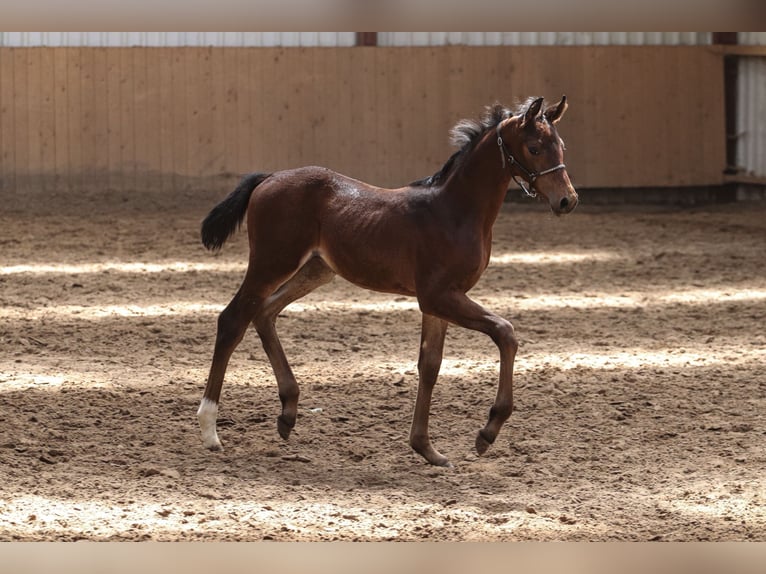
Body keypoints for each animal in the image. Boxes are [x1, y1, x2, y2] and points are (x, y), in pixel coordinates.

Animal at [197, 96, 578, 467]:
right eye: (534, 147)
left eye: (561, 146)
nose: (568, 200)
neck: (454, 212)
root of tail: (270, 176)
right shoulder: (438, 296)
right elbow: (505, 333)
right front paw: (488, 431)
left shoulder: (439, 301)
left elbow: (430, 364)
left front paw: (426, 448)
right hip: (272, 262)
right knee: (232, 320)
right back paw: (209, 429)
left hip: (316, 269)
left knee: (264, 313)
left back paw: (288, 412)